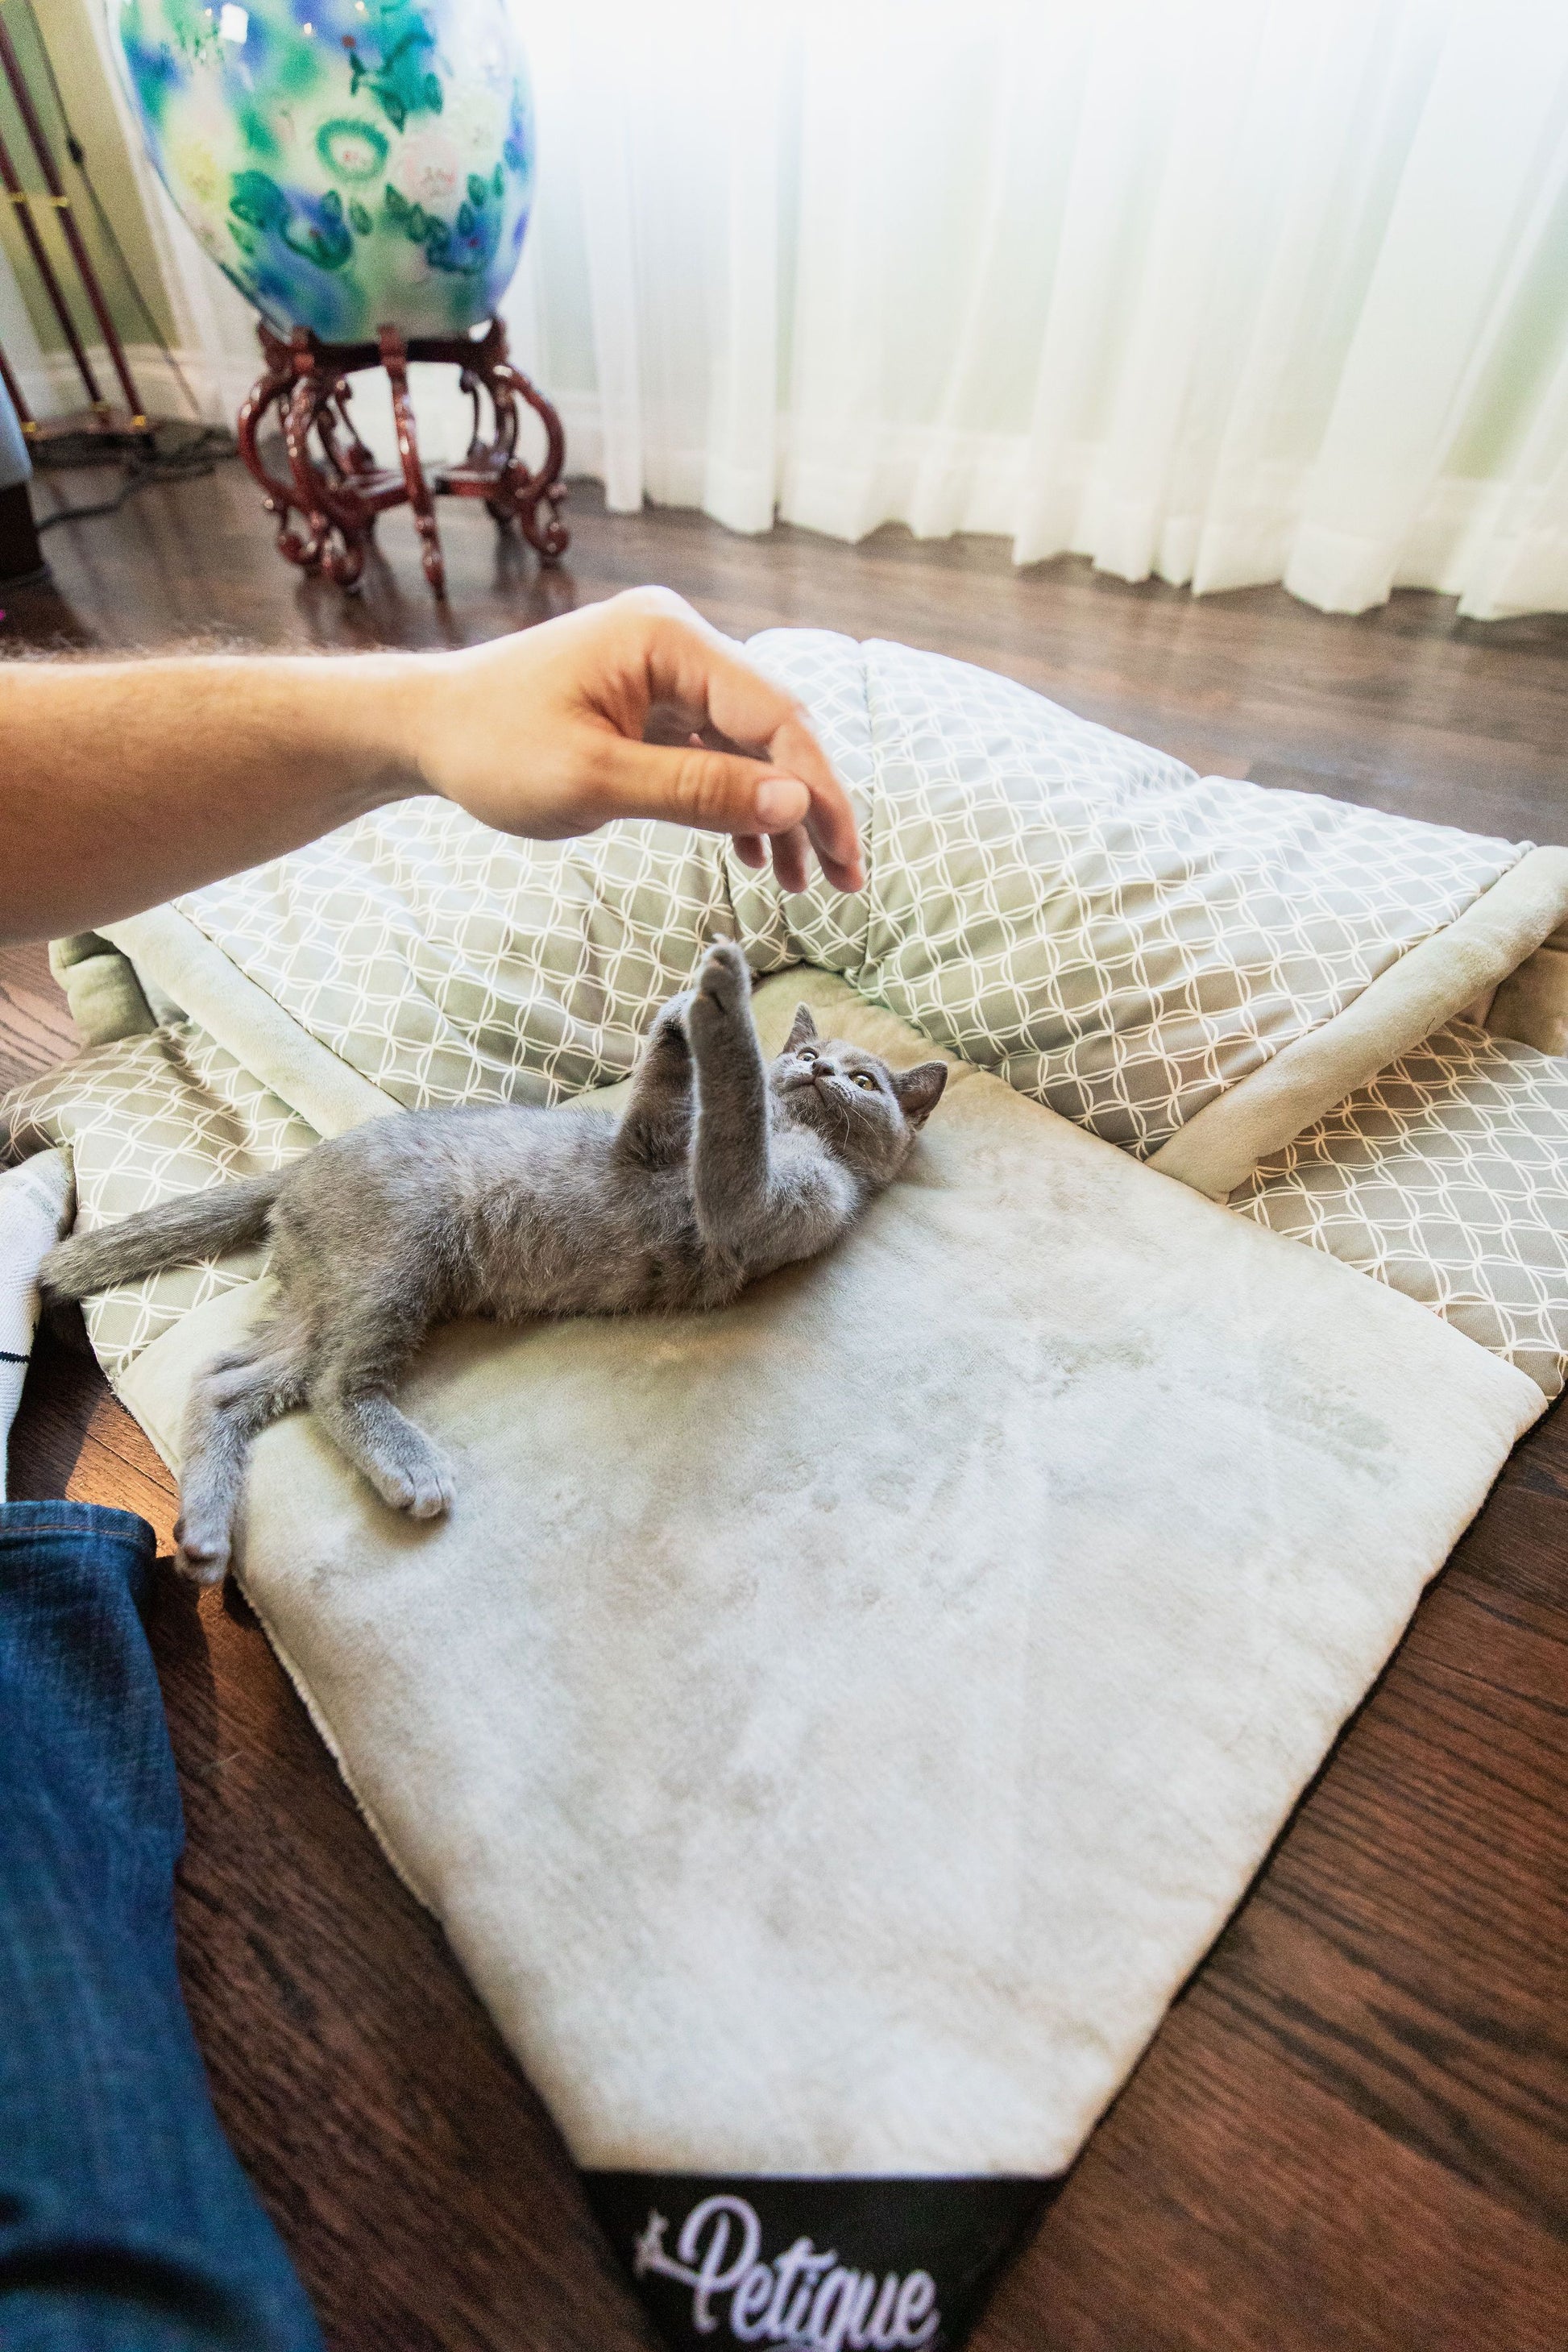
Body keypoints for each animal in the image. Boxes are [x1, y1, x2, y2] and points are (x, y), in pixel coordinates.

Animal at [43, 945, 949, 1590]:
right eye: (814, 1052)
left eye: (863, 1079)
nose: (815, 1067)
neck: (801, 1134)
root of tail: (299, 1167)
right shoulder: (646, 1143)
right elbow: (673, 1098)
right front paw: (685, 1012)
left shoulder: (743, 1198)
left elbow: (729, 1117)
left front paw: (718, 1006)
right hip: (369, 1271)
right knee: (249, 1379)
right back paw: (210, 1530)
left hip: (382, 1271)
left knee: (300, 1384)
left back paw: (326, 1495)